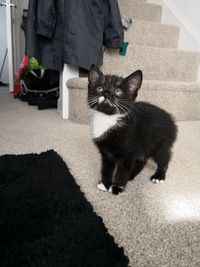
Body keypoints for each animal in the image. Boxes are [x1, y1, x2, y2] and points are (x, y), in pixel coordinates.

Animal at [87, 65, 177, 195]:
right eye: (99, 88)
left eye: (118, 91)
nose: (107, 94)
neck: (108, 119)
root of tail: (171, 120)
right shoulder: (106, 154)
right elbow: (106, 168)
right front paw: (105, 184)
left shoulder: (128, 153)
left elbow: (123, 170)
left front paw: (117, 187)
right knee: (142, 160)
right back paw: (131, 176)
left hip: (160, 143)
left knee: (164, 158)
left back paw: (159, 176)